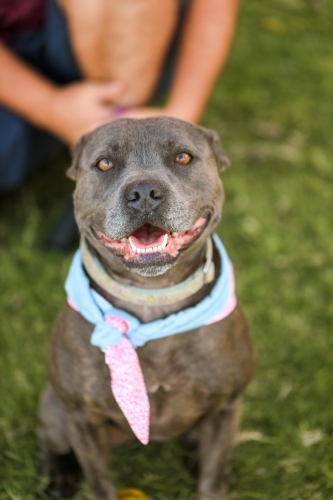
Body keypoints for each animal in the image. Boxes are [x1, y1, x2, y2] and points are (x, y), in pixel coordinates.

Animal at [38, 117, 254, 500]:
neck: (152, 296)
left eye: (183, 157)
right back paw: (58, 475)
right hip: (56, 411)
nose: (143, 193)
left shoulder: (226, 407)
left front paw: (215, 476)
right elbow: (100, 482)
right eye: (104, 164)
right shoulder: (83, 418)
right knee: (50, 440)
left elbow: (211, 477)